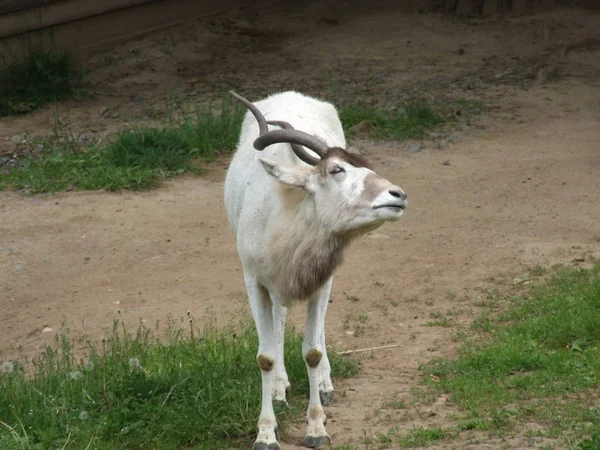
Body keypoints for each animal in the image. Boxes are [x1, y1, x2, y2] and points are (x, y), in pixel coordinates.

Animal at [225, 89, 408, 448]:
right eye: (337, 170)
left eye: (367, 167)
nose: (398, 194)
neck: (287, 210)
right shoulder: (254, 281)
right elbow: (265, 357)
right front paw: (266, 433)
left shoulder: (320, 280)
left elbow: (312, 351)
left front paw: (316, 428)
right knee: (280, 317)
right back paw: (280, 388)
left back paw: (324, 386)